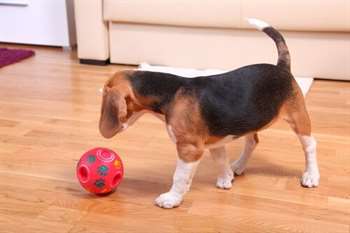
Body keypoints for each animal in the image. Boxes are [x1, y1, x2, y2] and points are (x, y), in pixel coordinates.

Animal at [98, 17, 320, 208]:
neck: (170, 92)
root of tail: (281, 67)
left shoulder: (189, 149)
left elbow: (179, 176)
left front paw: (172, 198)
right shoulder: (215, 140)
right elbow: (220, 160)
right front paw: (226, 178)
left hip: (298, 118)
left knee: (309, 146)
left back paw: (311, 175)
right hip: (249, 120)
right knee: (252, 142)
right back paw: (239, 166)